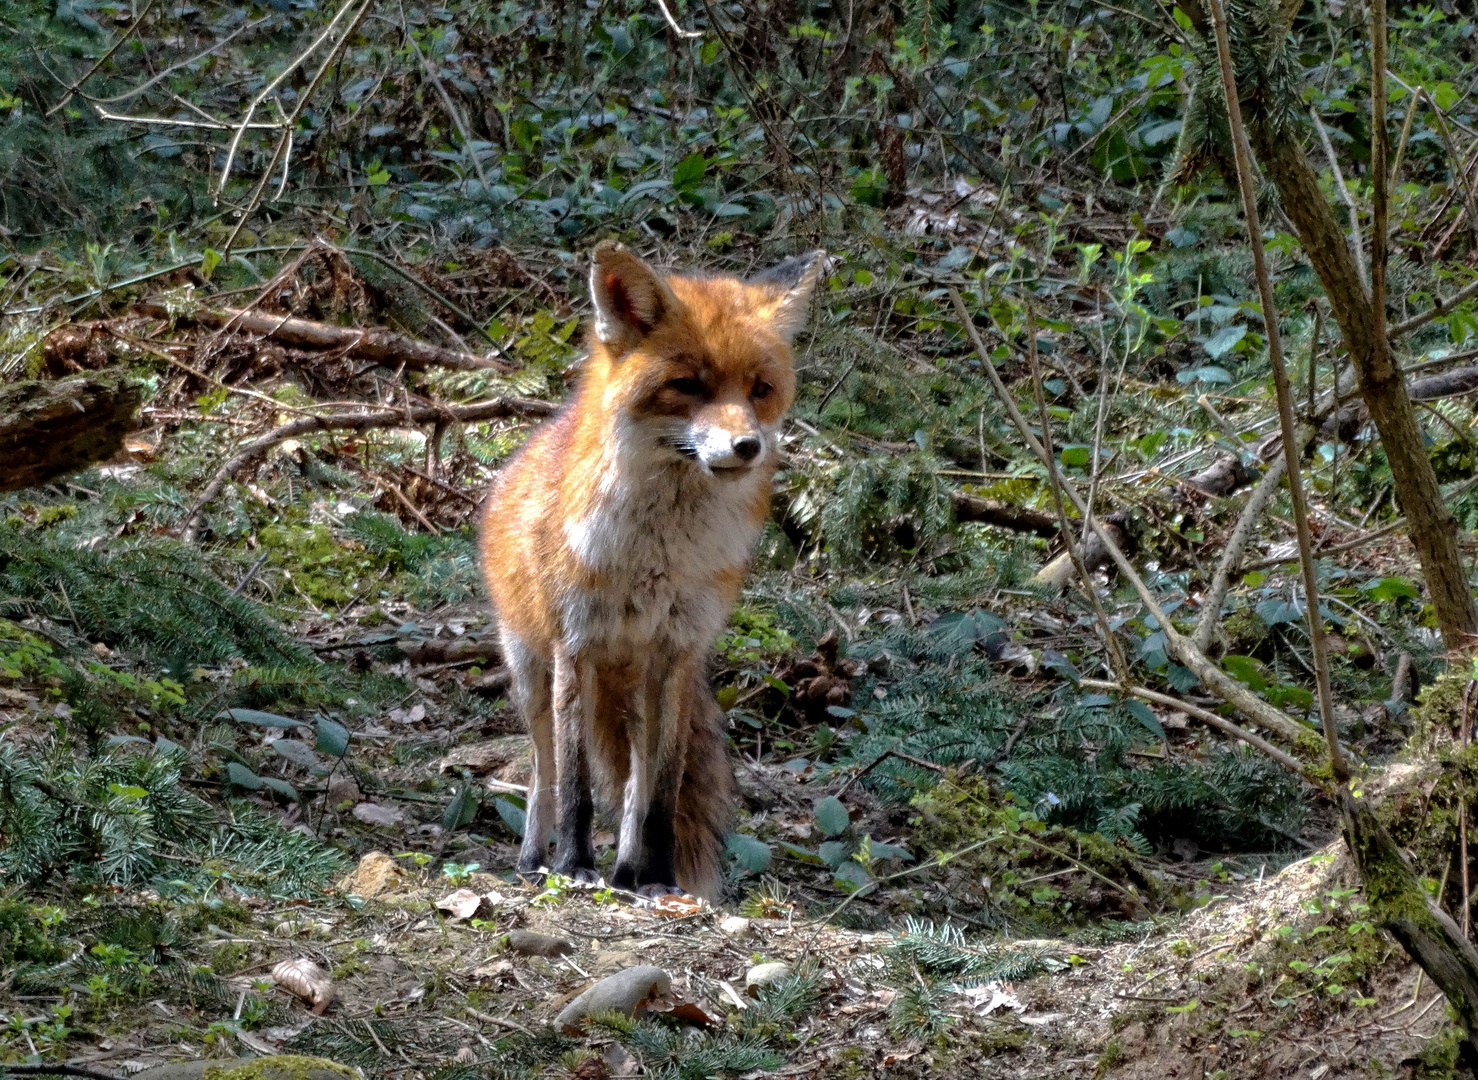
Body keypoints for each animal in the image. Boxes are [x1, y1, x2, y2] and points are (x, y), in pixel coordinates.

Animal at [481, 240, 821, 898]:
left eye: (760, 389)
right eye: (687, 385)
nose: (748, 447)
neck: (656, 557)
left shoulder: (677, 650)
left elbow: (660, 796)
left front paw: (657, 879)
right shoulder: (576, 644)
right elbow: (577, 788)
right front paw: (574, 865)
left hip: (642, 696)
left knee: (636, 789)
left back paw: (627, 870)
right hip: (533, 673)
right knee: (542, 773)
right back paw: (535, 860)